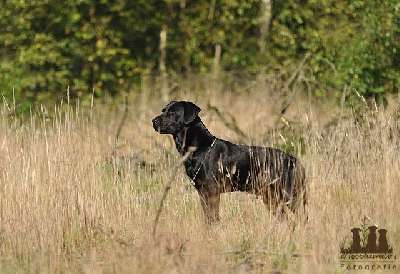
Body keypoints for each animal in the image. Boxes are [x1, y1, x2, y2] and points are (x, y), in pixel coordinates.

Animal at [153, 100, 306, 223]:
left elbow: (213, 217)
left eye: (172, 112)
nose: (153, 121)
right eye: (163, 110)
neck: (199, 147)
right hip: (271, 198)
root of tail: (294, 160)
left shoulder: (212, 191)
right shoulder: (202, 191)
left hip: (289, 194)